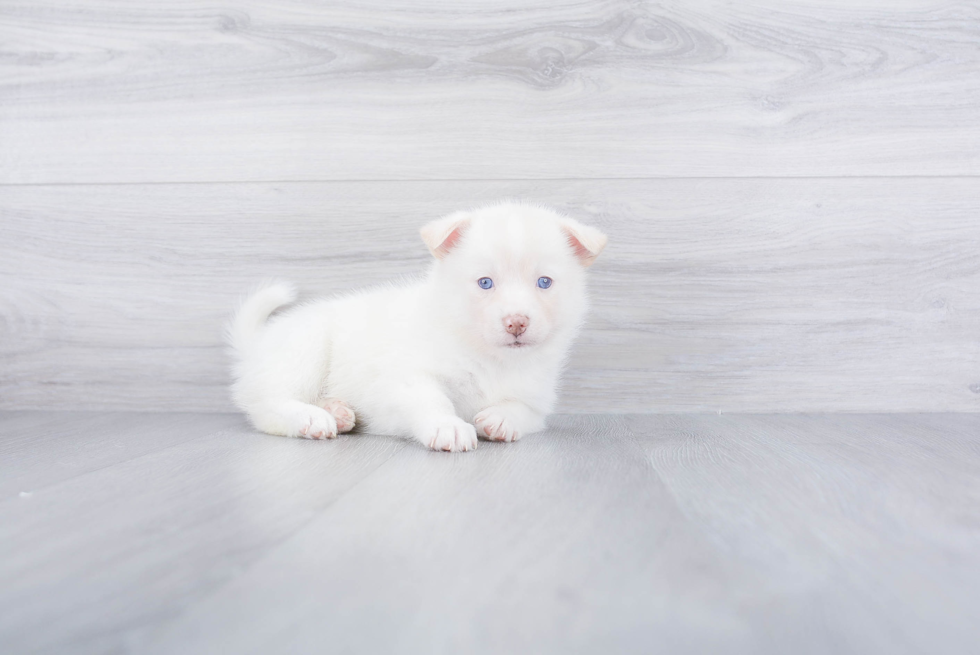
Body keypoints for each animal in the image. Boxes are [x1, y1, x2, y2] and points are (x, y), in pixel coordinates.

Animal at [231, 202, 608, 454]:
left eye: (544, 282)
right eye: (485, 283)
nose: (517, 322)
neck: (487, 356)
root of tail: (256, 342)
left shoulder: (537, 398)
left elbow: (521, 410)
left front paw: (501, 419)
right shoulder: (408, 378)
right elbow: (432, 400)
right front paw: (449, 427)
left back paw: (337, 411)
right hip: (304, 349)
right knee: (269, 402)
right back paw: (311, 418)